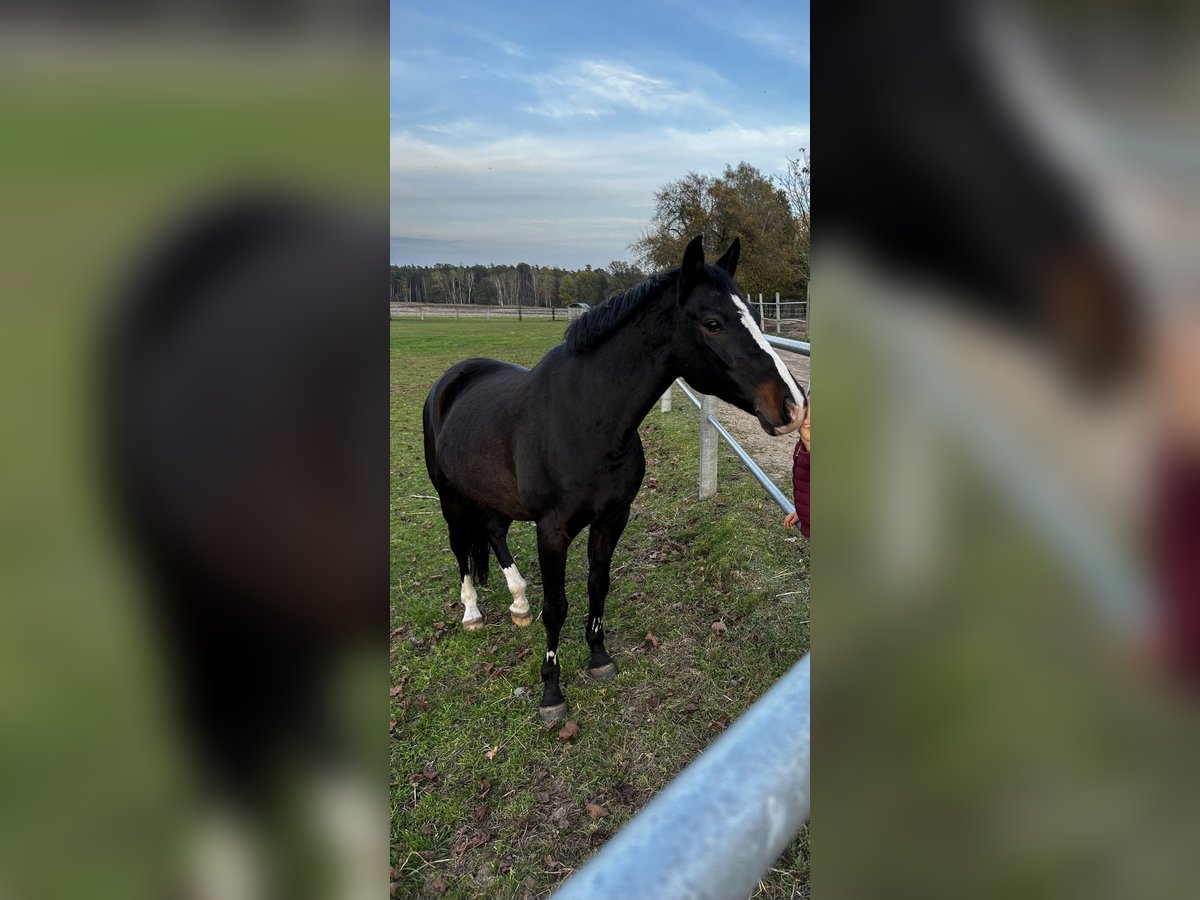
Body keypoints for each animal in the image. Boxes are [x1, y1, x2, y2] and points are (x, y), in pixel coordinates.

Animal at [422, 234, 806, 724]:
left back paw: (518, 603)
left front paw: (599, 658)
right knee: (460, 548)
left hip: (494, 497)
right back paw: (472, 613)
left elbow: (598, 585)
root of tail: (451, 379)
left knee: (492, 532)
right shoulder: (552, 531)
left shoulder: (612, 518)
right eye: (713, 323)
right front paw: (552, 694)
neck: (586, 420)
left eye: (756, 318)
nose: (794, 406)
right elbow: (556, 607)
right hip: (450, 498)